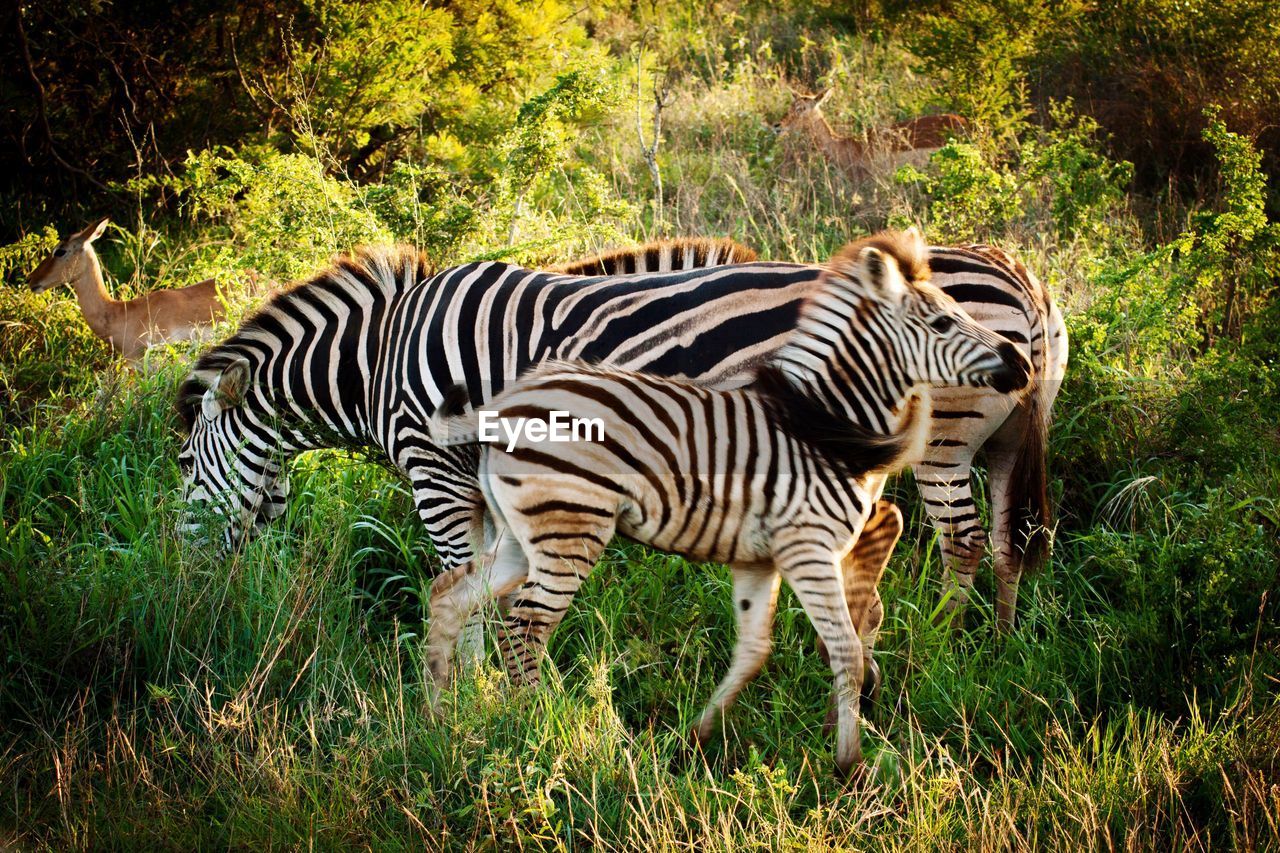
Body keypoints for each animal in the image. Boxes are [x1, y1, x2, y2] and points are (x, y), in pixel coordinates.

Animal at [177, 234, 1059, 630]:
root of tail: (1025, 279)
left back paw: (938, 642)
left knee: (963, 542)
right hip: (1007, 443)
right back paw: (994, 644)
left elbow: (461, 581)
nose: (189, 588)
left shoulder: (437, 467)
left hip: (945, 438)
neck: (379, 359)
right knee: (1009, 541)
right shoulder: (495, 475)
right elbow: (497, 581)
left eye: (184, 465)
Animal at [424, 230, 1034, 768]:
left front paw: (696, 738)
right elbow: (843, 648)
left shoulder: (760, 559)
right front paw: (850, 762)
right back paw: (538, 725)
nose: (1020, 363)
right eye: (941, 321)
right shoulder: (807, 549)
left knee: (451, 596)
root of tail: (500, 411)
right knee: (523, 628)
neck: (822, 422)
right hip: (569, 531)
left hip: (521, 538)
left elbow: (755, 650)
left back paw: (448, 716)